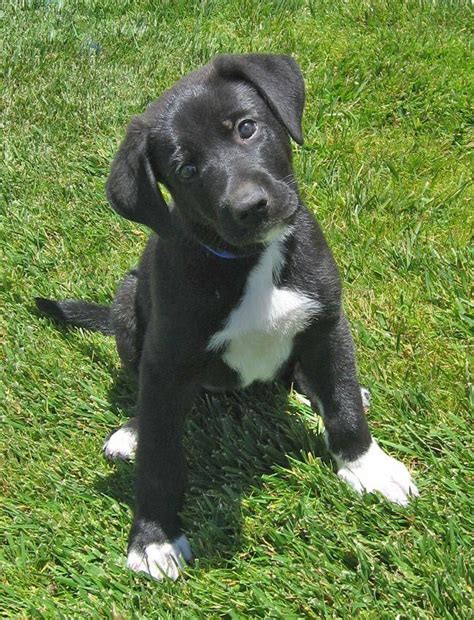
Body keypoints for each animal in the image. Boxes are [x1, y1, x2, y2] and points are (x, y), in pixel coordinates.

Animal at [35, 53, 416, 580]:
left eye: (246, 128)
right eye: (186, 168)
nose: (250, 206)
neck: (250, 259)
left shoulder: (326, 320)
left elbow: (342, 404)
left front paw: (366, 466)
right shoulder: (166, 362)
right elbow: (159, 458)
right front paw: (153, 537)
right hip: (128, 302)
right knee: (141, 391)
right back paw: (131, 430)